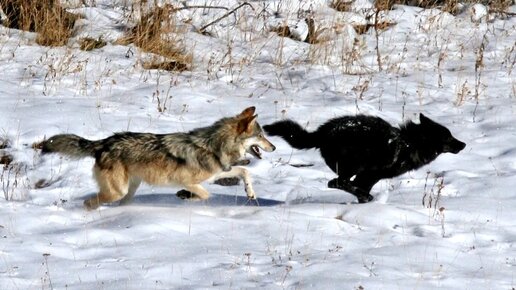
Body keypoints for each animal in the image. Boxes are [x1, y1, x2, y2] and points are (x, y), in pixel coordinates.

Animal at [38, 106, 276, 208]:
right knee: (89, 203)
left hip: (127, 191)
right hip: (117, 191)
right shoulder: (187, 180)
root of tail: (104, 142)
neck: (213, 146)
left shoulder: (216, 173)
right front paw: (185, 196)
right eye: (261, 135)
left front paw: (251, 193)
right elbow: (206, 195)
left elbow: (244, 171)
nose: (273, 147)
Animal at [264, 112, 466, 202]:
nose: (464, 144)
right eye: (448, 137)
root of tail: (322, 132)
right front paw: (366, 199)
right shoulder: (370, 174)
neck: (411, 143)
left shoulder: (369, 177)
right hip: (354, 166)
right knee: (335, 183)